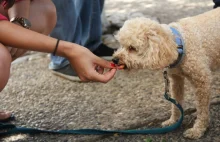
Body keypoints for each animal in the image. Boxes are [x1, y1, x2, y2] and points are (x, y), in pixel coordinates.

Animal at [112, 7, 220, 139]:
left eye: (132, 48)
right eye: (121, 45)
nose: (114, 60)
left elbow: (202, 109)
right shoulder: (176, 79)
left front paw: (198, 130)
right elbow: (176, 103)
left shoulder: (202, 80)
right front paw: (173, 121)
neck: (179, 44)